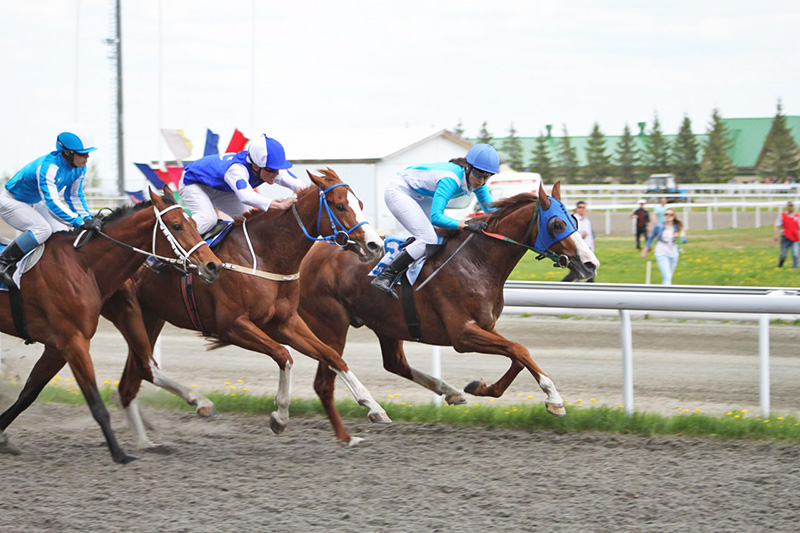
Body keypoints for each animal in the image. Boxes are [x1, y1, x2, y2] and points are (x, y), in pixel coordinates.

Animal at [0, 187, 220, 462]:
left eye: (194, 224)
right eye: (177, 225)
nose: (213, 266)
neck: (83, 266)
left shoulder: (56, 347)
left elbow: (27, 395)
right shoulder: (74, 342)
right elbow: (96, 403)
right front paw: (119, 454)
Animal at [101, 168, 390, 446]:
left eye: (360, 204)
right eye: (340, 206)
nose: (375, 245)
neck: (266, 256)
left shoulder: (285, 322)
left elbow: (332, 356)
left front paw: (374, 408)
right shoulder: (232, 326)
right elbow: (283, 355)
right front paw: (279, 417)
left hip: (150, 317)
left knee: (132, 378)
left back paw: (145, 440)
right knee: (138, 371)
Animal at [298, 181, 600, 442]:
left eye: (575, 221)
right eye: (557, 223)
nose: (591, 264)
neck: (477, 261)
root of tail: (308, 255)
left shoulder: (486, 326)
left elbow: (517, 355)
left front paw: (479, 387)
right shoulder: (462, 335)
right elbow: (520, 350)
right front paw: (554, 399)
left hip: (385, 323)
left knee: (395, 363)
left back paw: (450, 392)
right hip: (332, 323)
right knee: (328, 375)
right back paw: (371, 410)